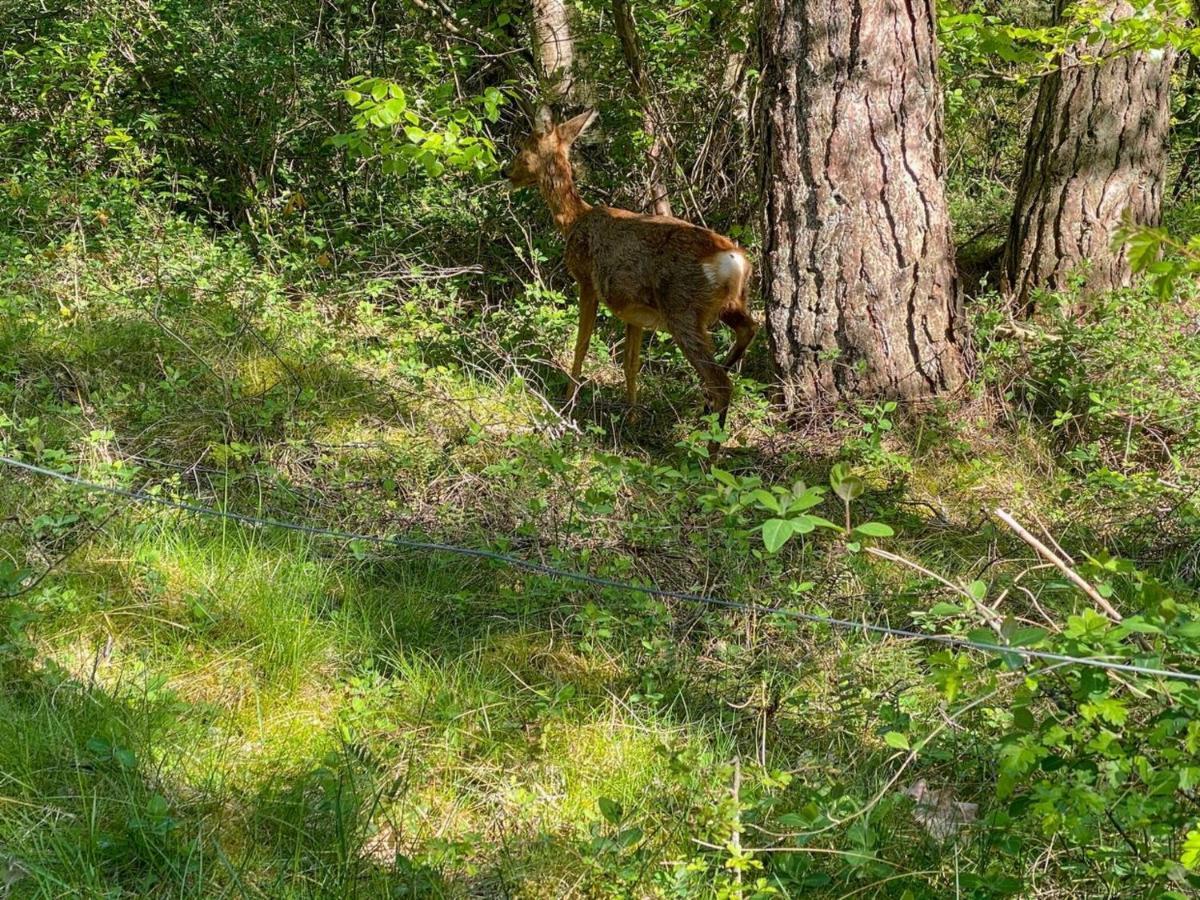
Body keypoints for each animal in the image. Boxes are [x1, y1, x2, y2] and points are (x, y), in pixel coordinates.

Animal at [508, 109, 758, 434]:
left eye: (523, 147)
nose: (505, 173)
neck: (575, 220)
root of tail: (734, 260)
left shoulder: (587, 281)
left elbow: (581, 344)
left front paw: (568, 398)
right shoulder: (633, 311)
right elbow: (631, 363)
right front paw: (633, 415)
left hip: (683, 309)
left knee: (722, 383)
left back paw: (708, 438)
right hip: (731, 303)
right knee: (748, 330)